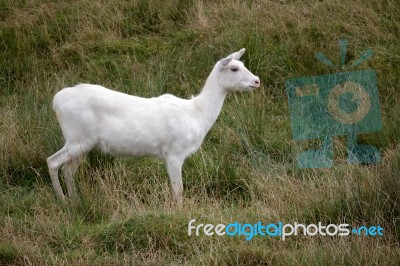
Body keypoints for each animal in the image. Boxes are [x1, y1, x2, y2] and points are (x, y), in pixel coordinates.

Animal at [46, 48, 260, 206]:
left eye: (243, 64)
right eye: (234, 68)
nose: (257, 80)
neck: (197, 115)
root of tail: (56, 101)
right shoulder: (174, 152)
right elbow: (178, 189)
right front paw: (180, 212)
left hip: (82, 144)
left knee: (67, 169)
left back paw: (74, 200)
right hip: (78, 139)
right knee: (52, 161)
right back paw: (63, 200)